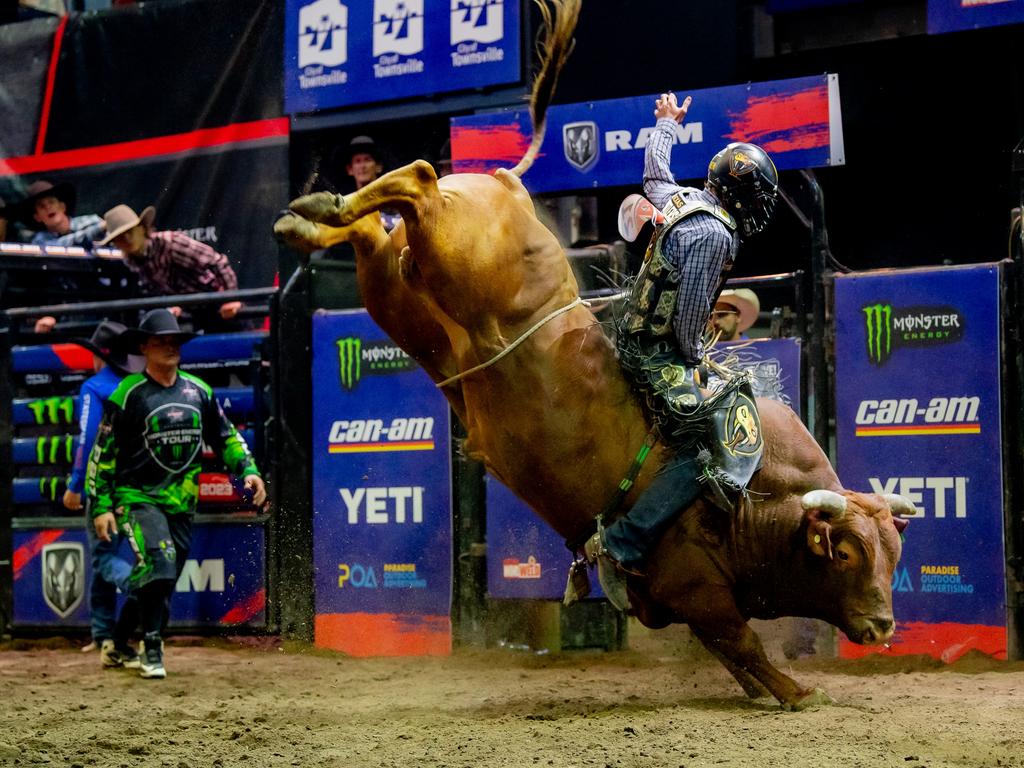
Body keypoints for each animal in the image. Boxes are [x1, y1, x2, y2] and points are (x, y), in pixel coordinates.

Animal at [274, 0, 913, 712]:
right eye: (849, 554)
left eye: (894, 553)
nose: (882, 626)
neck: (758, 503)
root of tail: (505, 186)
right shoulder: (697, 584)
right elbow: (742, 641)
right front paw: (798, 692)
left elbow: (732, 653)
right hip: (453, 252)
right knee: (416, 178)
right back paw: (328, 204)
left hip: (404, 296)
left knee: (376, 231)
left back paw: (308, 218)